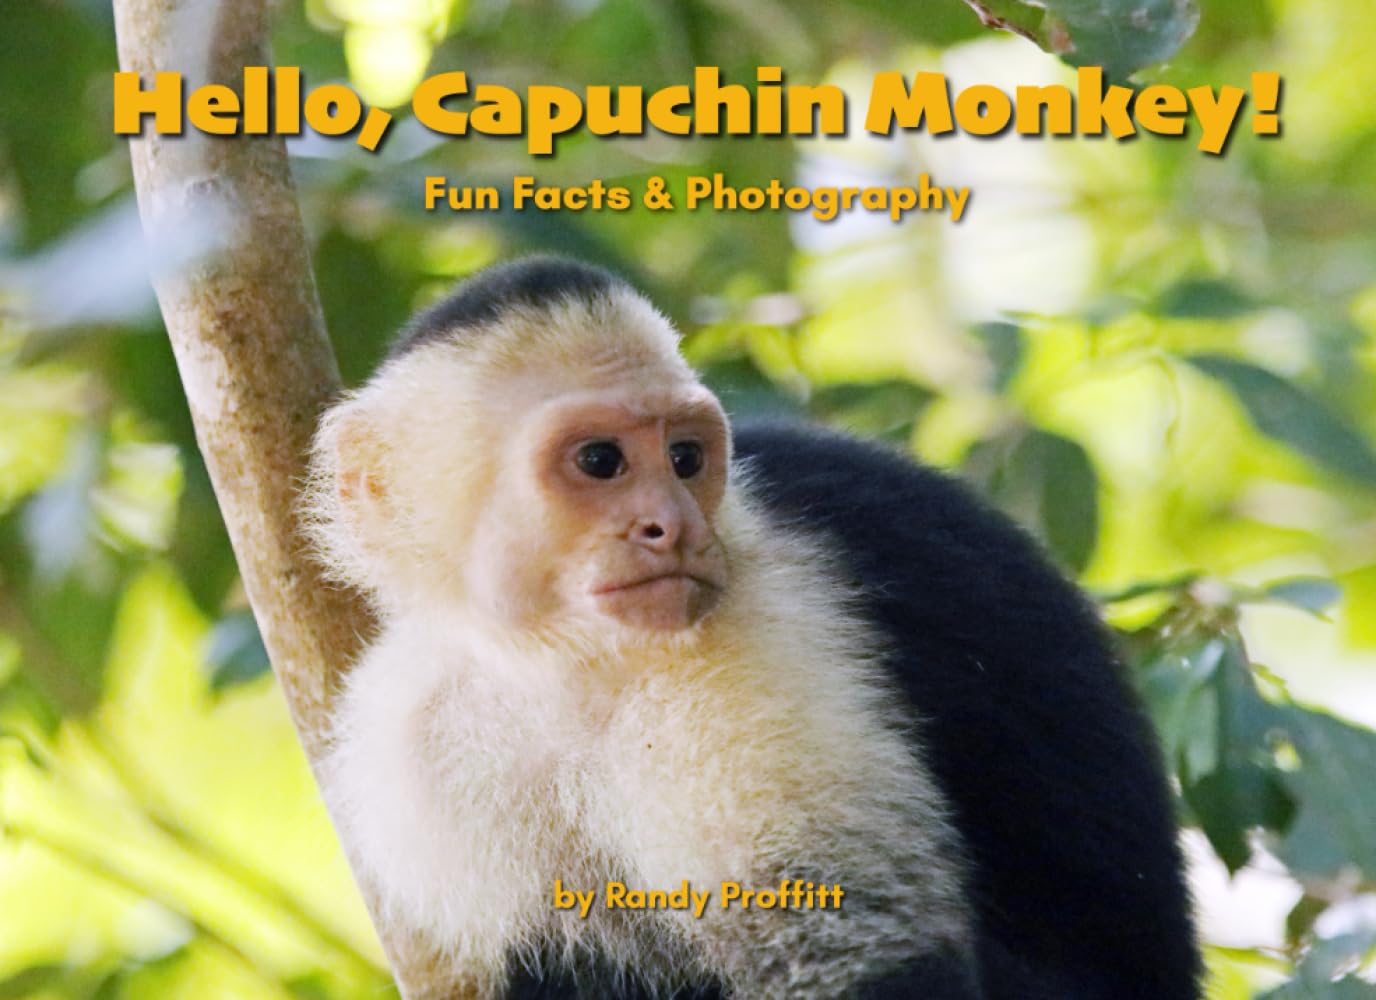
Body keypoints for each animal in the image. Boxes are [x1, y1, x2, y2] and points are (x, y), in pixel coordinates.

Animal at [304, 256, 1201, 1000]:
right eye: (600, 461)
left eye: (686, 459)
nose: (670, 528)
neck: (560, 662)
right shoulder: (405, 741)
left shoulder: (751, 648)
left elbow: (877, 968)